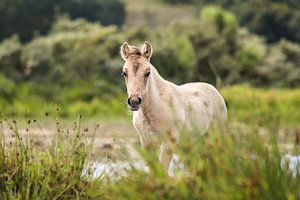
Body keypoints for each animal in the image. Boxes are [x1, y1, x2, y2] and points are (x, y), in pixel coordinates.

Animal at [120, 41, 226, 170]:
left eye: (147, 72)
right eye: (124, 73)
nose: (134, 101)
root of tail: (214, 90)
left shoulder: (168, 143)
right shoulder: (146, 142)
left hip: (216, 138)